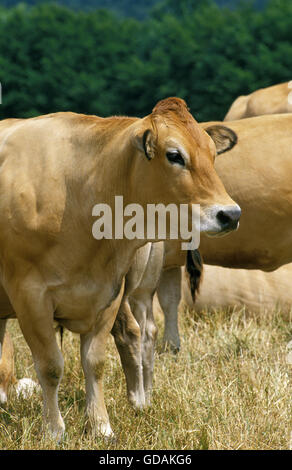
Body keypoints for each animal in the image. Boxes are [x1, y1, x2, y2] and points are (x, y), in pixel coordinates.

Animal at [0, 97, 240, 438]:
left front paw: (101, 425)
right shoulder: (29, 296)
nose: (230, 214)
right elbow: (51, 366)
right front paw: (54, 430)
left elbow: (95, 362)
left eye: (212, 153)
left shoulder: (109, 293)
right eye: (175, 155)